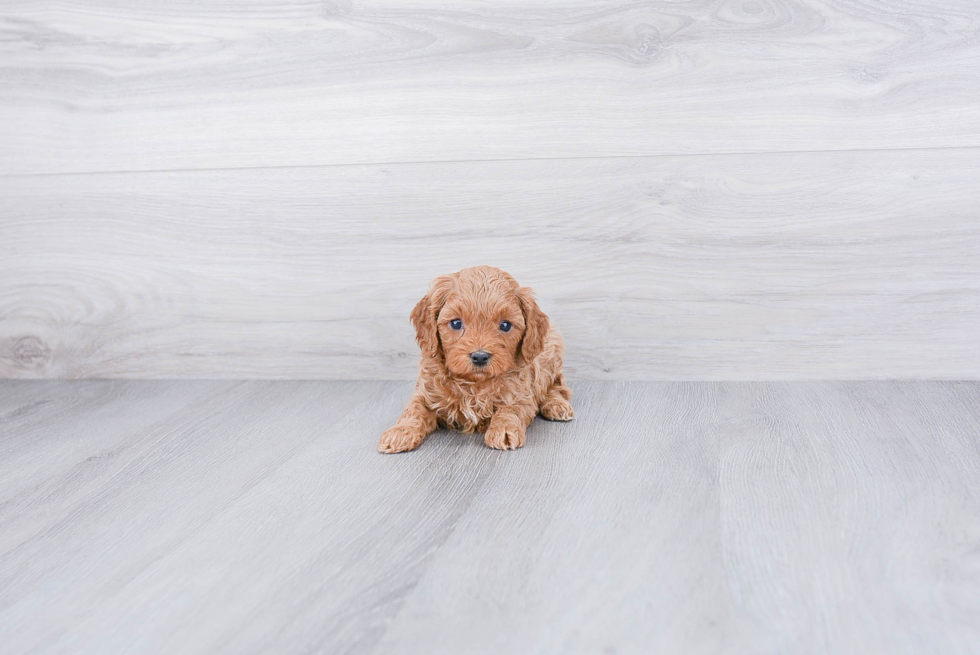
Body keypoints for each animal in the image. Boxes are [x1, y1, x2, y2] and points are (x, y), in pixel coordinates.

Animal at [378, 264, 576, 454]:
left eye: (505, 325)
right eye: (456, 323)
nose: (480, 357)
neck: (474, 384)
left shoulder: (522, 394)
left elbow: (511, 409)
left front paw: (504, 430)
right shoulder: (425, 393)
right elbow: (414, 410)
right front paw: (399, 432)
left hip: (551, 353)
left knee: (556, 387)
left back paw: (557, 405)